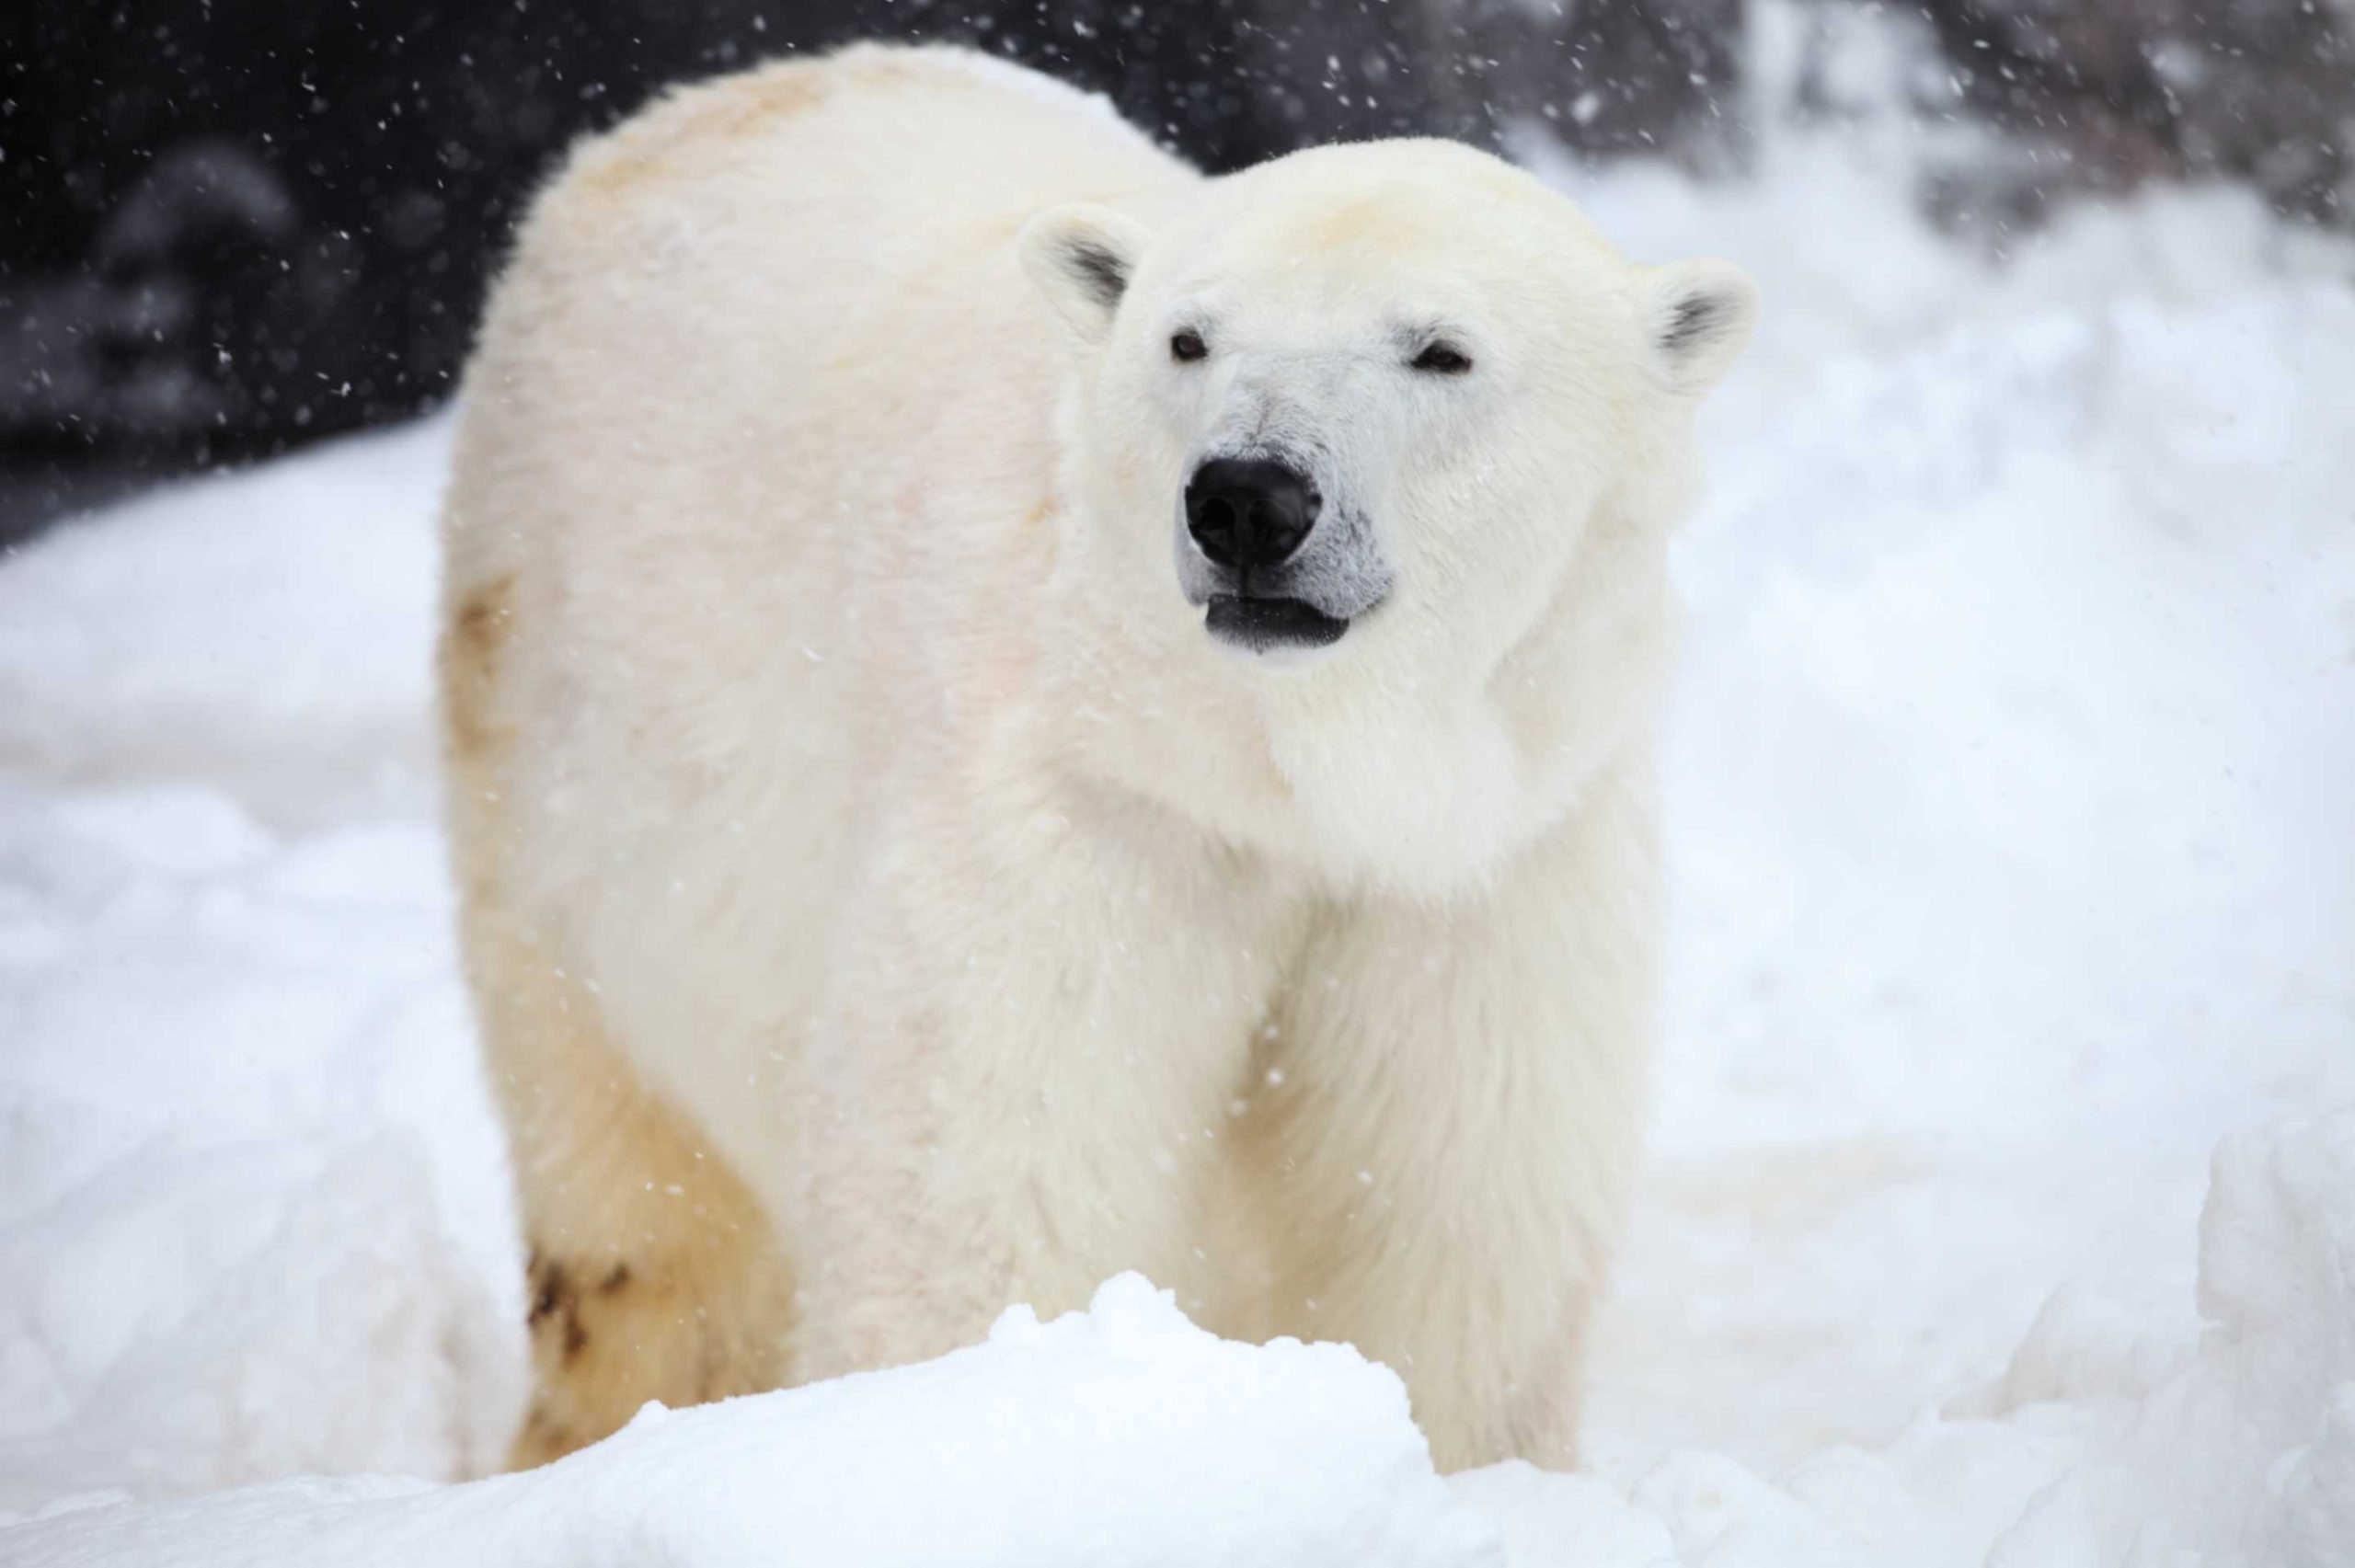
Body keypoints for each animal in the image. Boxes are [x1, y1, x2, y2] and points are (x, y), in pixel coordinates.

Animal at [442, 42, 1761, 1469]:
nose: (1249, 497)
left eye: (1441, 351)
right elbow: (994, 1188)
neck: (1285, 777)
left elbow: (1451, 1213)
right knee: (633, 1202)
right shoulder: (1082, 815)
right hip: (554, 707)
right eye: (1188, 337)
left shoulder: (1481, 870)